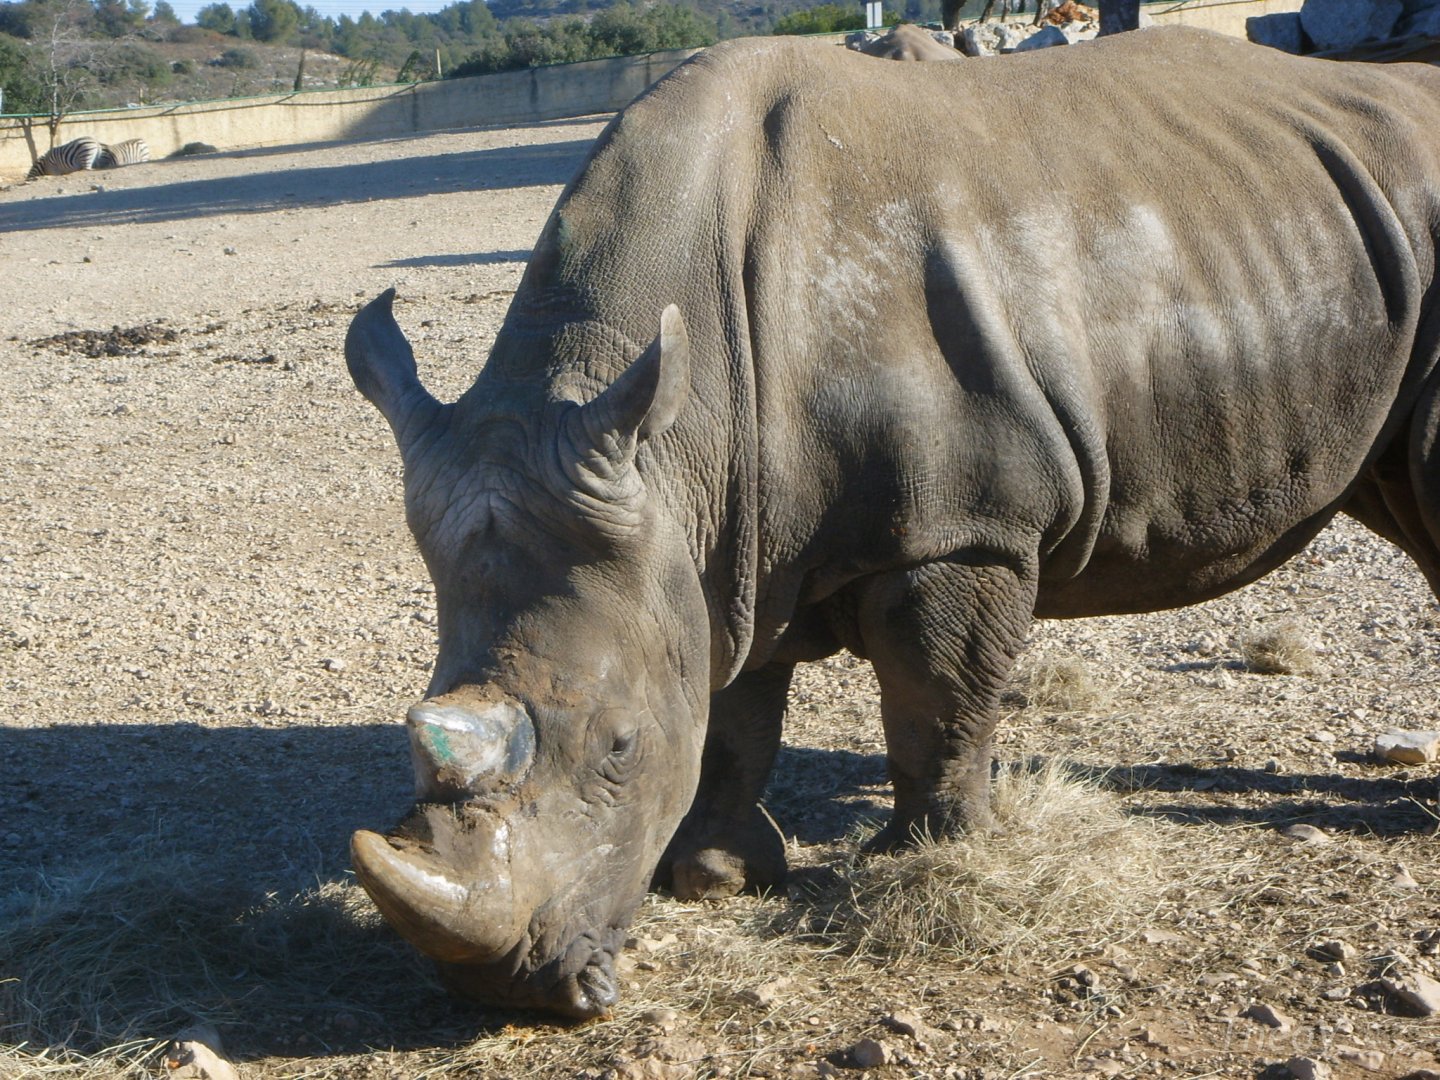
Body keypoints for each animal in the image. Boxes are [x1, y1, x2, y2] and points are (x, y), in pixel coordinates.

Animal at [345, 27, 1440, 1018]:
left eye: (618, 748)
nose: (507, 988)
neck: (680, 444)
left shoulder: (960, 522)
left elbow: (934, 694)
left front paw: (931, 856)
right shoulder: (722, 538)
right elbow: (732, 706)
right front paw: (714, 874)